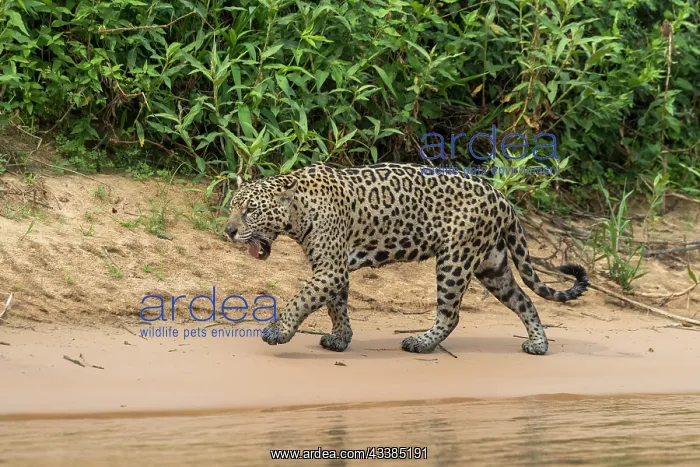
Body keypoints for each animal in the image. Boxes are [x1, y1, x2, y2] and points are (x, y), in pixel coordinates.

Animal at [224, 162, 588, 355]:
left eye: (250, 211)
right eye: (231, 207)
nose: (228, 231)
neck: (297, 212)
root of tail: (502, 197)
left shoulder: (330, 269)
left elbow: (300, 299)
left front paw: (278, 332)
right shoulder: (334, 269)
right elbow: (335, 305)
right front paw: (340, 338)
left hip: (456, 260)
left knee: (451, 315)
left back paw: (420, 342)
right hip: (492, 265)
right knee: (524, 300)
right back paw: (538, 344)